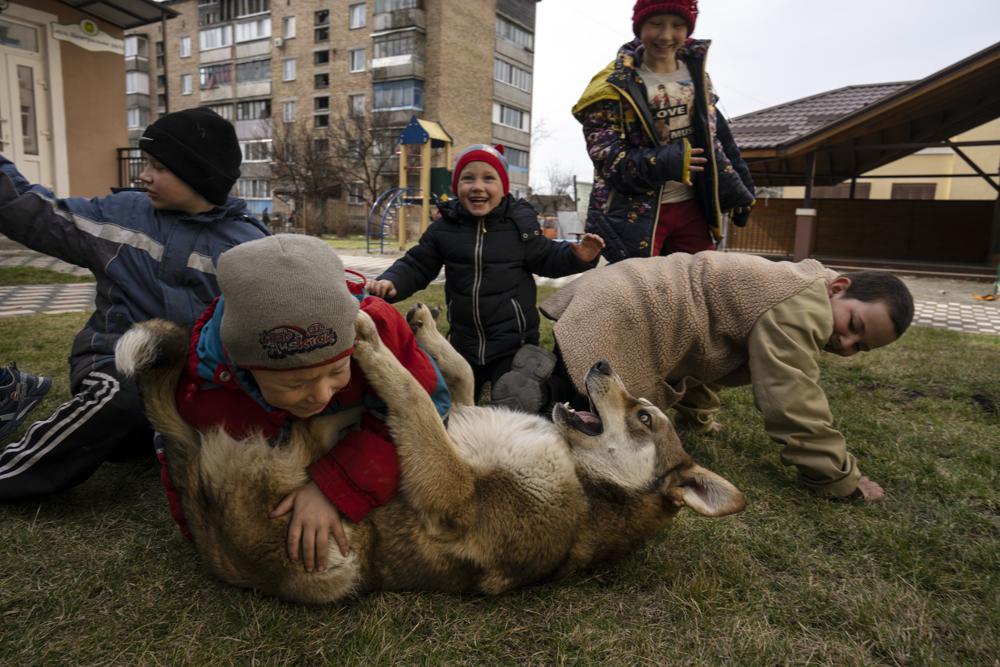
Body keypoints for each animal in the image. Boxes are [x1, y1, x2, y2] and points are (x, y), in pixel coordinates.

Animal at [115, 304, 744, 604]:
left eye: (645, 418)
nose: (604, 363)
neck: (581, 476)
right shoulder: (461, 411)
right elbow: (458, 373)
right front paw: (420, 327)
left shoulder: (453, 490)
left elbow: (414, 398)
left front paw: (372, 342)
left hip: (336, 555)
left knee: (307, 443)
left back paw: (335, 412)